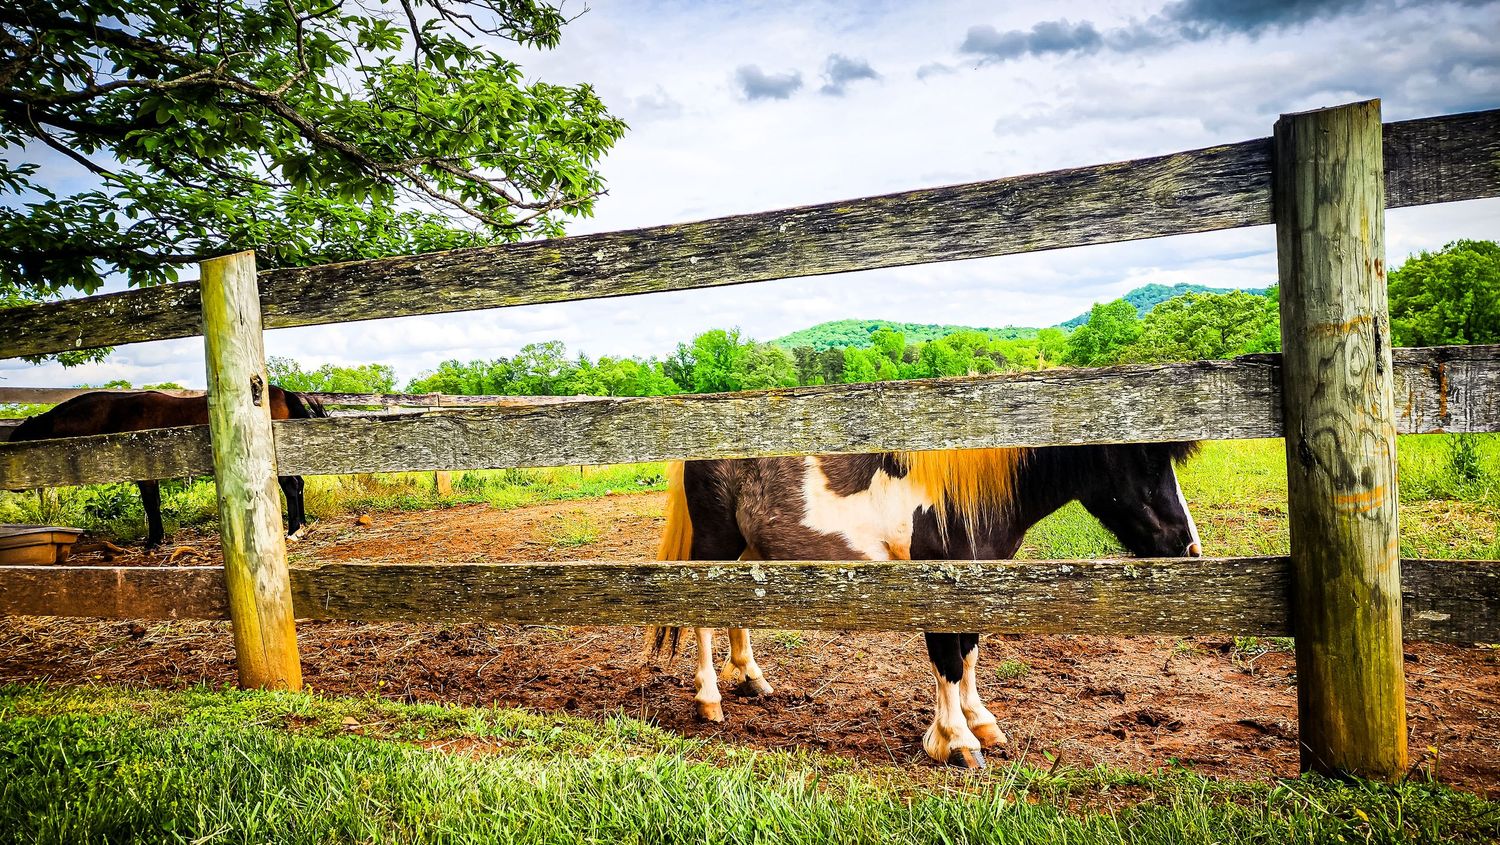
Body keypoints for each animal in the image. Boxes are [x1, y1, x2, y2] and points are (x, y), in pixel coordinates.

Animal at [9, 386, 327, 548]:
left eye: (19, 442)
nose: (14, 487)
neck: (116, 413)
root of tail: (285, 393)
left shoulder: (145, 473)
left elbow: (151, 505)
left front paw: (153, 541)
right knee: (298, 484)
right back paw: (300, 524)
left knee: (291, 486)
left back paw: (293, 529)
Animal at [647, 442, 1201, 768]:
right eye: (1146, 462)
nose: (1189, 548)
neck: (963, 496)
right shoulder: (934, 584)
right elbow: (949, 661)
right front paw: (957, 741)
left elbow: (970, 653)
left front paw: (983, 724)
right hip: (715, 544)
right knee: (701, 617)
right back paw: (709, 701)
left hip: (746, 551)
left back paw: (752, 680)